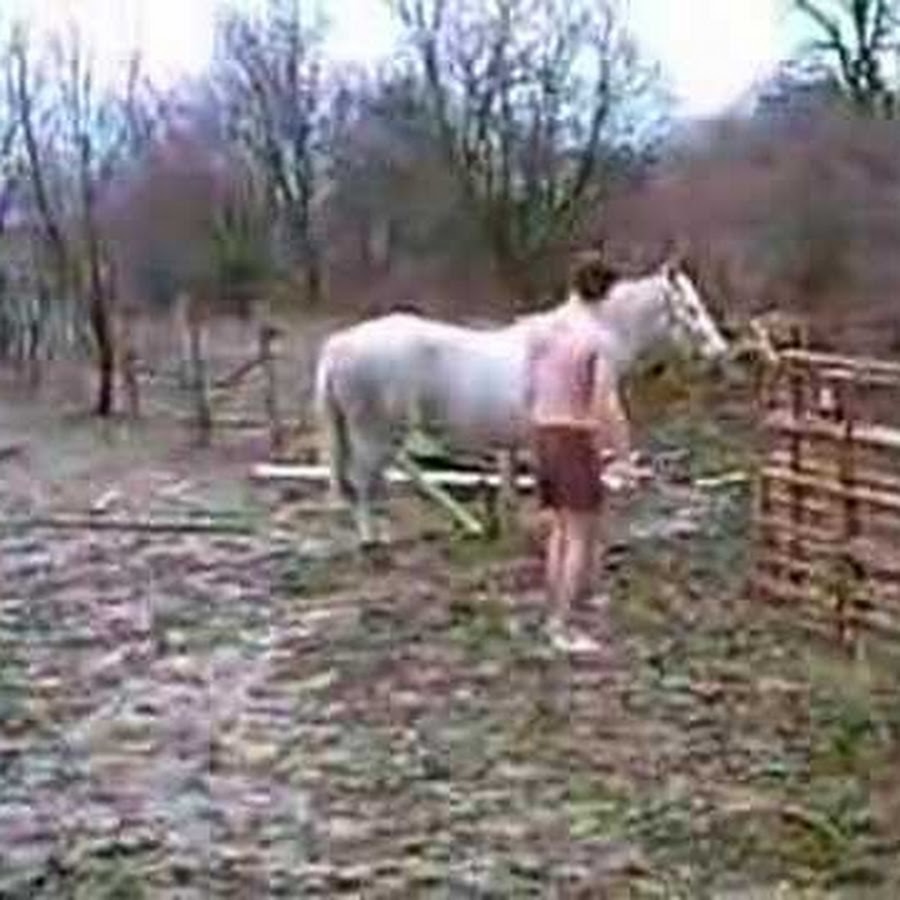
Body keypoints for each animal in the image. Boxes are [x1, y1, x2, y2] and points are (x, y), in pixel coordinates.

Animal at [314, 259, 730, 545]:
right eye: (691, 309)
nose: (719, 352)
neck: (593, 335)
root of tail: (336, 348)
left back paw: (468, 523)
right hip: (376, 429)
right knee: (369, 478)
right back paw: (373, 537)